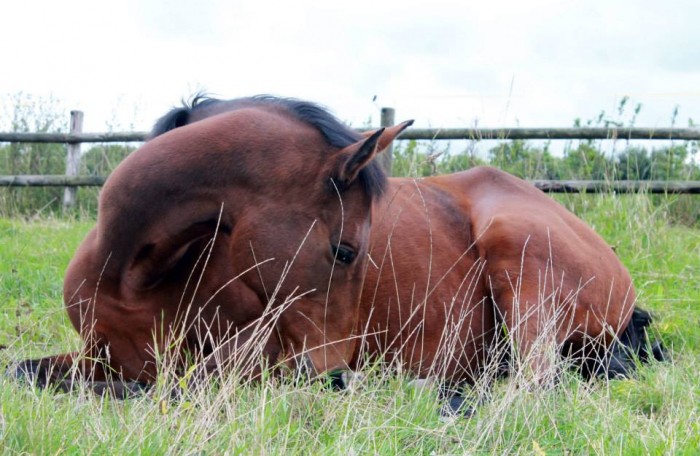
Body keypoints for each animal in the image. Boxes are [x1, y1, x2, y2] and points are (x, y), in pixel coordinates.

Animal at [9, 95, 660, 410]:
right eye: (345, 251)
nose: (333, 371)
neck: (135, 276)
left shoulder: (250, 357)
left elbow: (174, 385)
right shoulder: (100, 353)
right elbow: (22, 372)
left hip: (518, 257)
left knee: (533, 382)